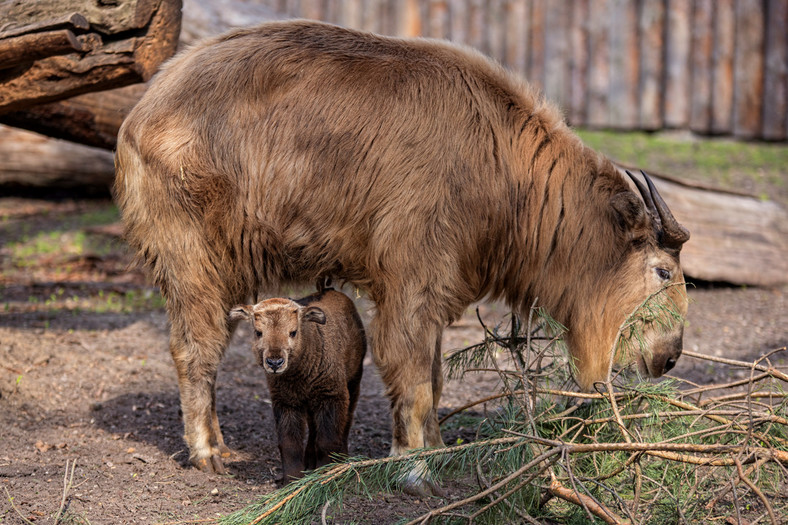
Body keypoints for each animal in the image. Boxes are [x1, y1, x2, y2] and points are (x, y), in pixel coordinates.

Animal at [226, 288, 364, 482]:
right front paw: (292, 479)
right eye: (258, 332)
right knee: (313, 429)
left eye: (293, 332)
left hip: (354, 382)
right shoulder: (286, 402)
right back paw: (310, 461)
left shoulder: (331, 396)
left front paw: (325, 472)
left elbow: (327, 440)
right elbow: (289, 443)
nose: (274, 362)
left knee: (346, 422)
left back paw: (341, 458)